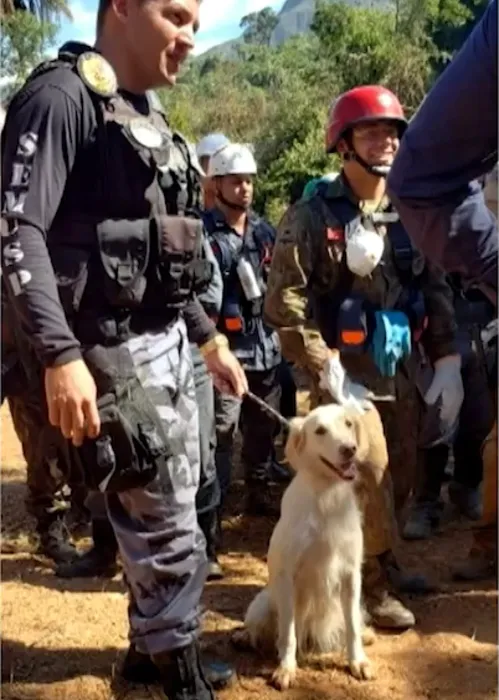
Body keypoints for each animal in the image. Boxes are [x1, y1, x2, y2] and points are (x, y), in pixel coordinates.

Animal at [234, 404, 376, 688]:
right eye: (320, 430)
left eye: (348, 424)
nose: (349, 449)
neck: (326, 497)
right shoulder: (288, 577)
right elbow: (288, 633)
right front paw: (286, 668)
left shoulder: (351, 574)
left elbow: (352, 628)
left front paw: (358, 661)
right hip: (263, 603)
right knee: (260, 628)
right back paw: (243, 636)